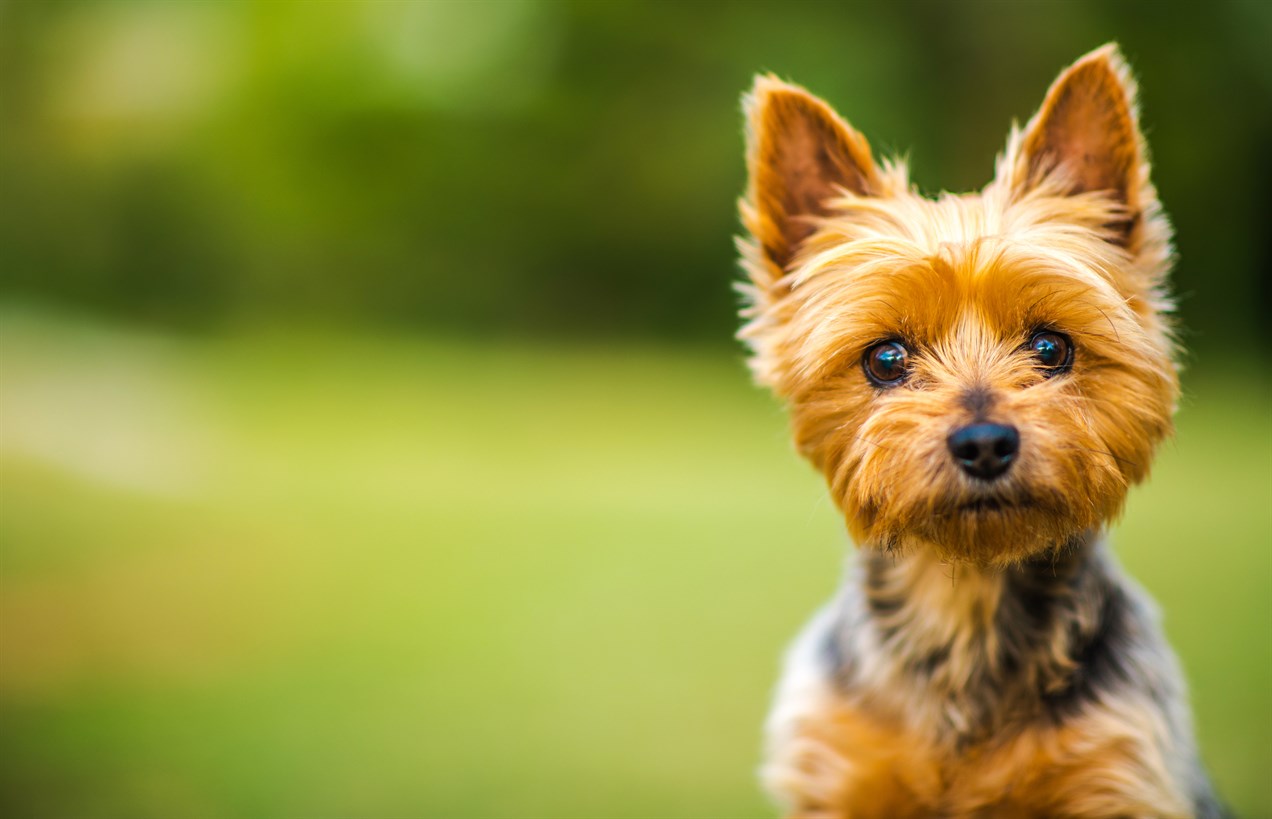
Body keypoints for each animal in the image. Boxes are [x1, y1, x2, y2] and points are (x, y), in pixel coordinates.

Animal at [737, 44, 1221, 819]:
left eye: (1052, 347)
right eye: (885, 359)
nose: (985, 442)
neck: (964, 593)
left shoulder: (1119, 767)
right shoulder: (838, 768)